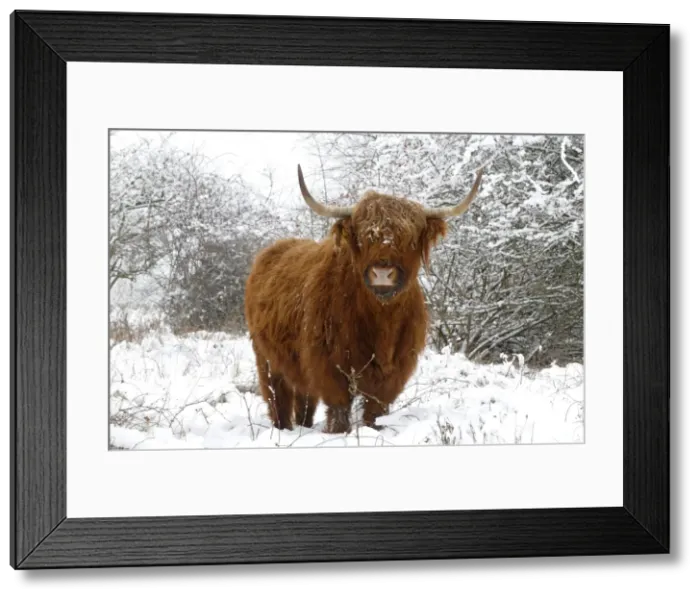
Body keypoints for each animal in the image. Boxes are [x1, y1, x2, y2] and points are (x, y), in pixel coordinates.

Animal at [244, 164, 484, 435]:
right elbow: (339, 410)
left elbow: (375, 411)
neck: (382, 321)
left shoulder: (394, 373)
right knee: (278, 398)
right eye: (364, 237)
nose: (382, 273)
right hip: (266, 359)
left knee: (305, 401)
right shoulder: (329, 366)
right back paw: (283, 429)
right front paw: (338, 433)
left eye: (410, 239)